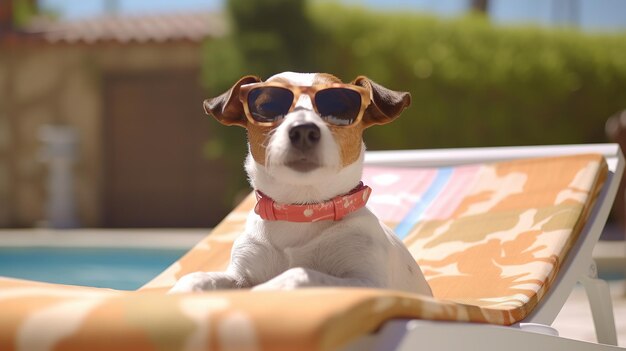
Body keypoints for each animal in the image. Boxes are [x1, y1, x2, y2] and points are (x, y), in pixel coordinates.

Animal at [171, 72, 434, 296]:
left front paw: (267, 289)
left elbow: (301, 273)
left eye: (340, 108)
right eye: (267, 106)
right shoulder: (243, 272)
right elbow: (200, 278)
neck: (301, 211)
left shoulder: (369, 281)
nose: (304, 130)